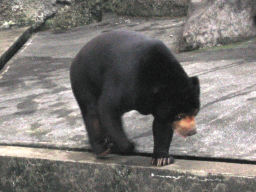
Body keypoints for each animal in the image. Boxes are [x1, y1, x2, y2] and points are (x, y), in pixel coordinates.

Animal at [70, 30, 200, 166]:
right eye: (179, 115)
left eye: (195, 111)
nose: (192, 131)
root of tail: (77, 55)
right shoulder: (126, 82)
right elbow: (108, 108)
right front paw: (126, 146)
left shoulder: (160, 104)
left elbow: (162, 124)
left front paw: (162, 158)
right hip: (83, 79)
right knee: (92, 112)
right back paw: (101, 148)